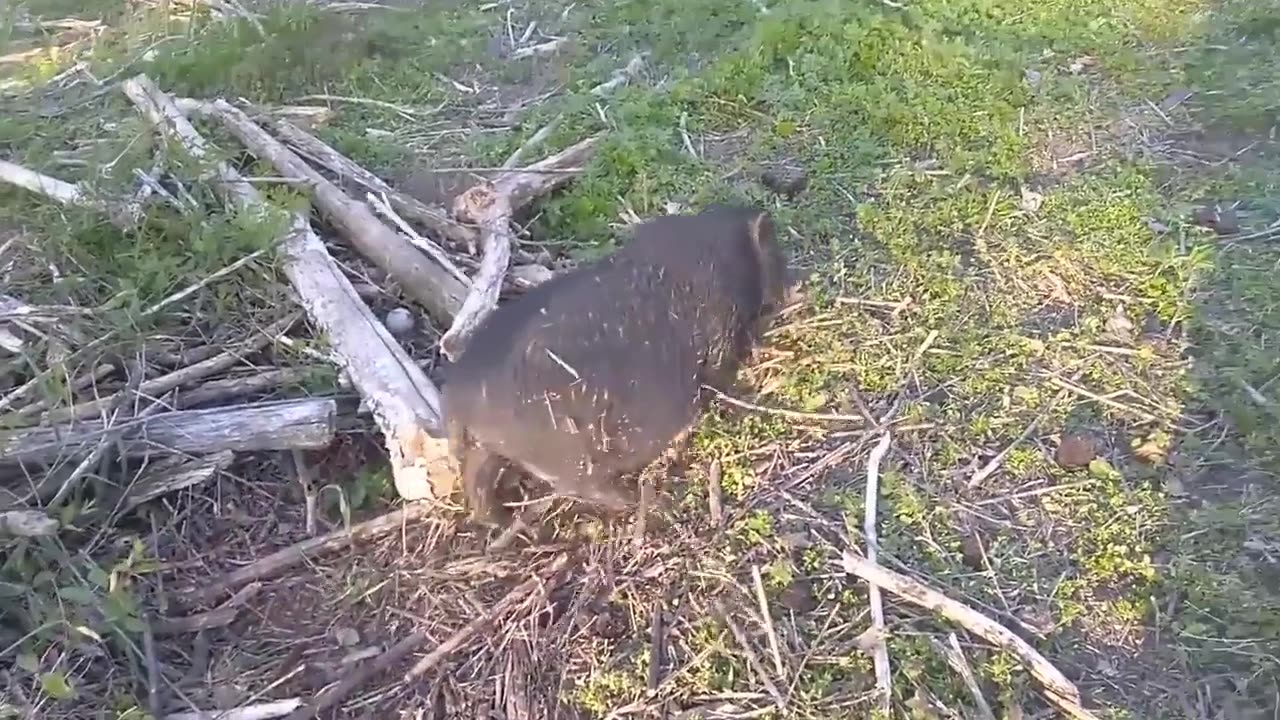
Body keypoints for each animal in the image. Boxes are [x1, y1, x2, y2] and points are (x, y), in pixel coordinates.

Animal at [441, 204, 789, 526]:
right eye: (775, 250)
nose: (792, 285)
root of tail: (458, 398)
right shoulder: (720, 332)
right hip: (570, 455)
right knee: (582, 485)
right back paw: (648, 503)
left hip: (491, 448)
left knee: (476, 475)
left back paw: (498, 521)